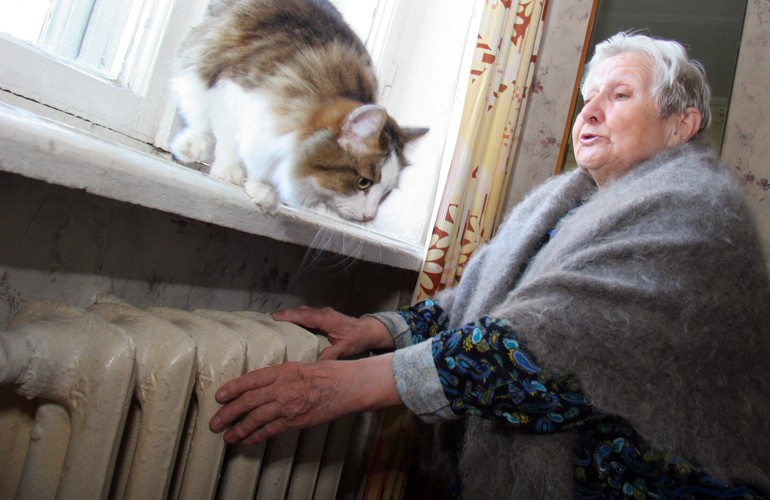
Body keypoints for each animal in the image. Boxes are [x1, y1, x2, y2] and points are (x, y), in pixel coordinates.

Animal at [169, 0, 428, 221]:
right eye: (363, 182)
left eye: (386, 193)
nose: (370, 217)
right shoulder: (230, 88)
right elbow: (230, 140)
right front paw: (229, 172)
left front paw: (262, 190)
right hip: (199, 63)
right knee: (201, 120)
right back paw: (192, 146)